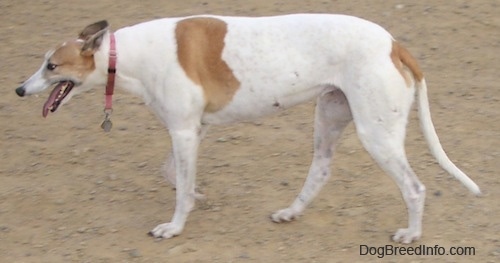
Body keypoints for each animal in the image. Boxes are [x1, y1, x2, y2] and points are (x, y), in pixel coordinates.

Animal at [15, 14, 480, 244]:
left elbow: (177, 188)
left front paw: (175, 226)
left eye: (51, 66)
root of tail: (393, 43)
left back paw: (412, 233)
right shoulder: (191, 129)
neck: (126, 54)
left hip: (377, 134)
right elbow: (174, 174)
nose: (19, 89)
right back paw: (291, 211)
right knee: (321, 170)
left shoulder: (184, 132)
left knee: (415, 188)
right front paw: (197, 195)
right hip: (330, 118)